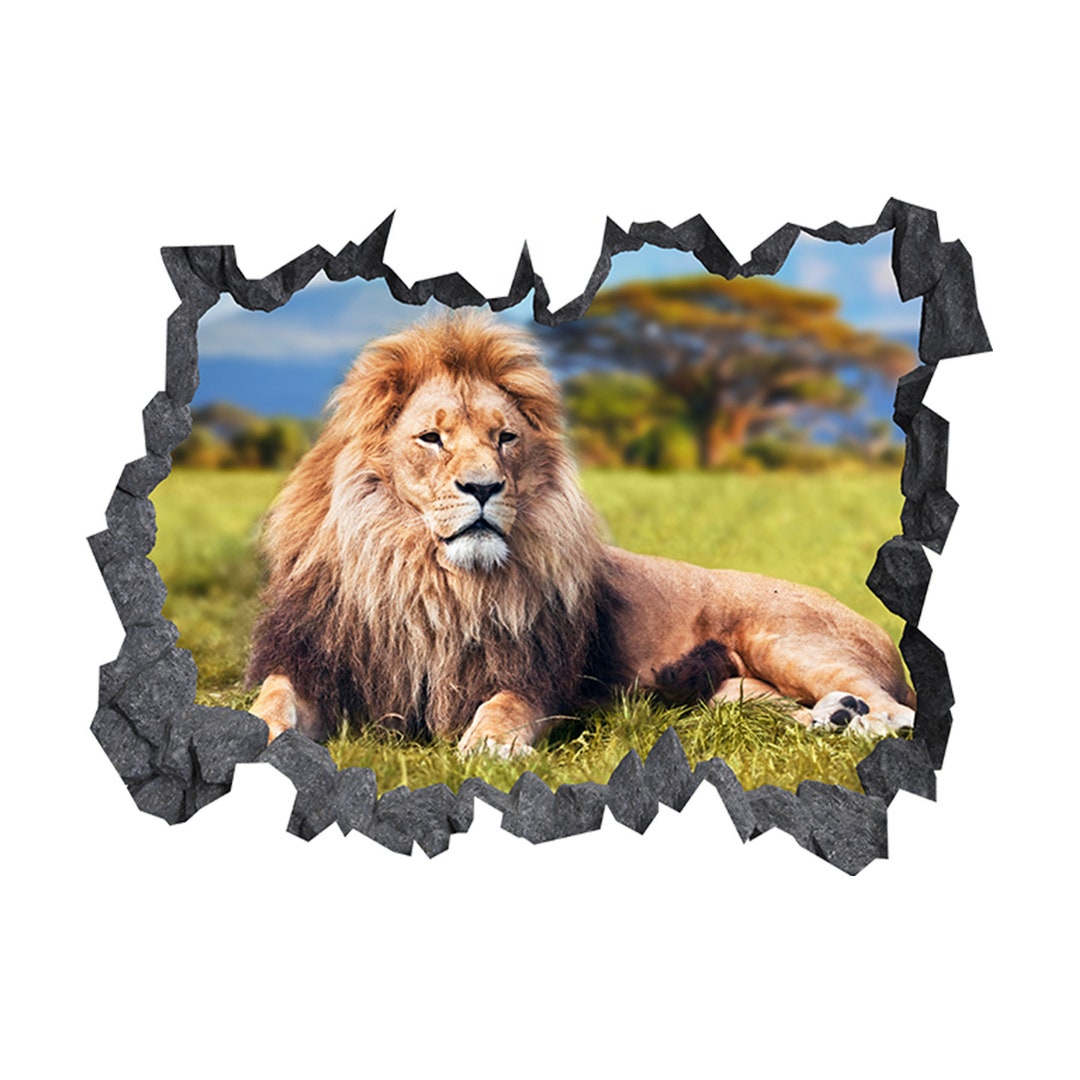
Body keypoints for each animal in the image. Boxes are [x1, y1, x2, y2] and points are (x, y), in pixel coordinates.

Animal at [247, 311, 915, 757]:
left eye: (504, 438)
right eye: (431, 438)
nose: (484, 488)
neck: (429, 580)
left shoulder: (534, 678)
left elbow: (503, 708)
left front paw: (489, 748)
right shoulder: (312, 661)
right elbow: (272, 701)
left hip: (786, 639)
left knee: (895, 710)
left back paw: (856, 719)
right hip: (731, 692)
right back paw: (832, 719)